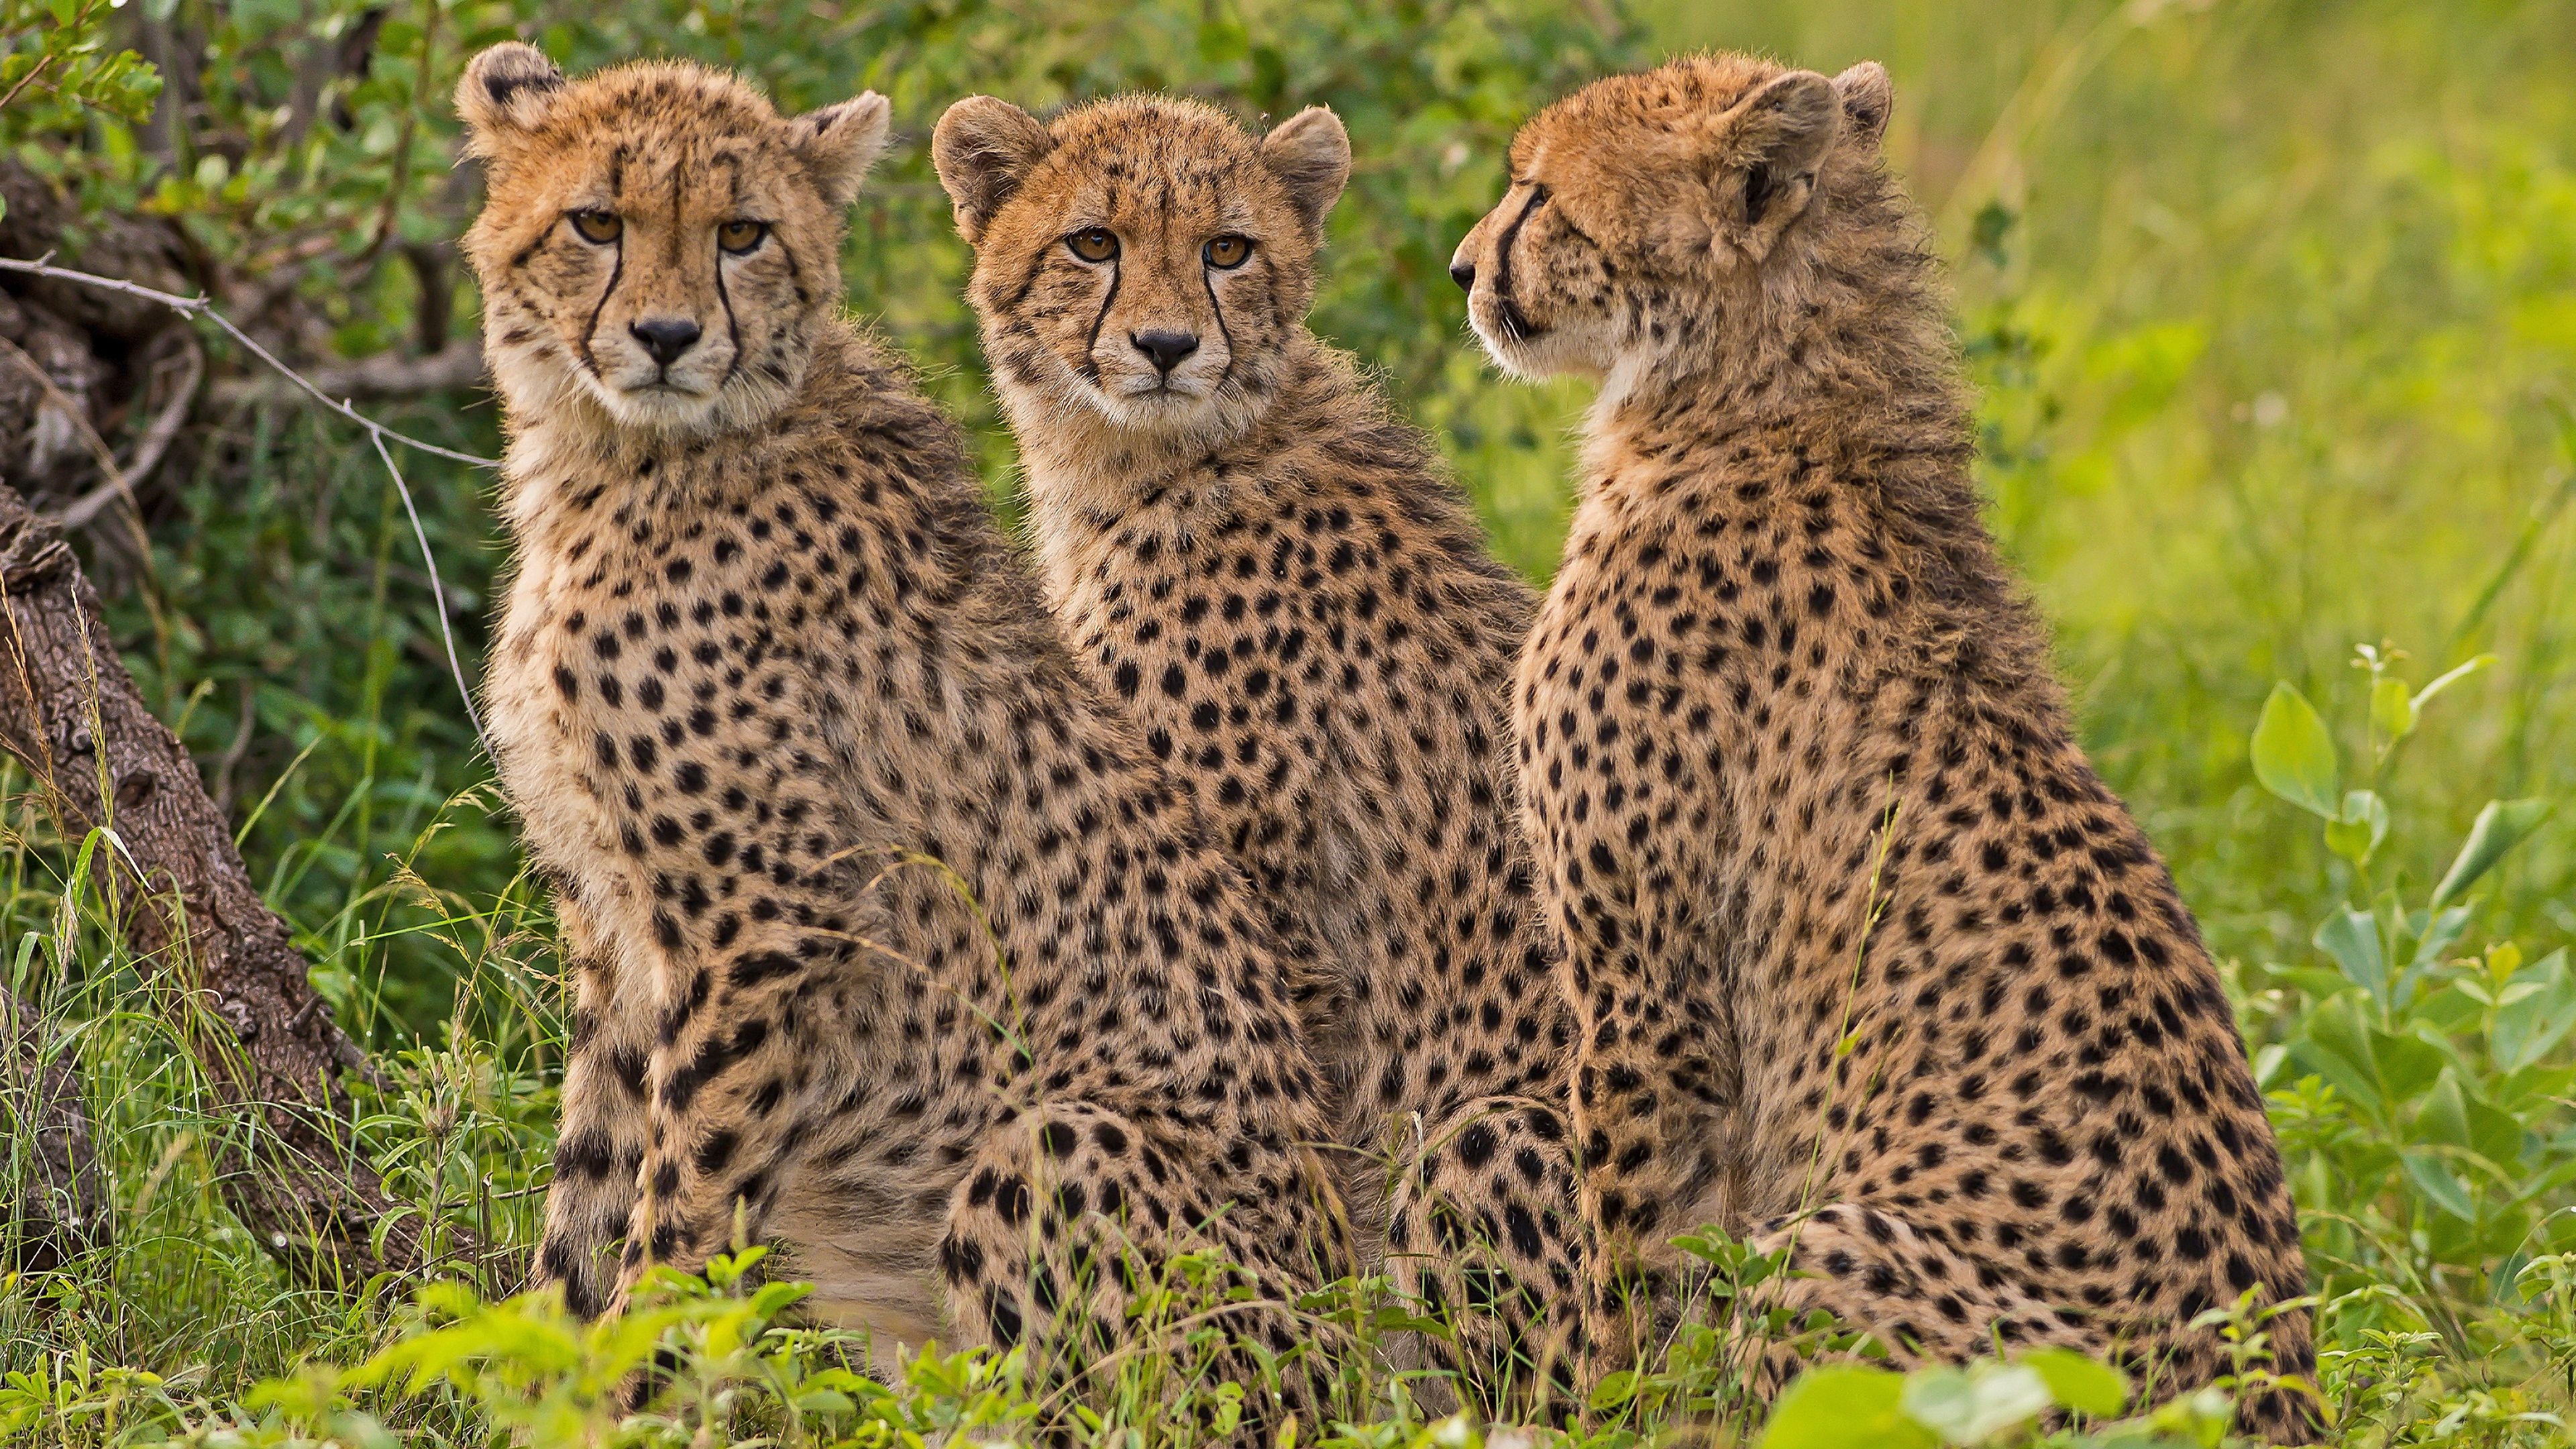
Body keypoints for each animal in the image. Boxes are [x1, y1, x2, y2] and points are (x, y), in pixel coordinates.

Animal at [455, 48, 1350, 1413]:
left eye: (742, 235)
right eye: (595, 223)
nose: (666, 338)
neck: (619, 450)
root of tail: (1357, 1352)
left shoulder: (767, 929)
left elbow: (679, 1213)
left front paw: (634, 1404)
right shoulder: (615, 936)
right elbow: (585, 1203)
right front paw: (540, 1394)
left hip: (1061, 1147)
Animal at [943, 93, 1587, 1413]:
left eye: (1229, 250)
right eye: (1093, 243)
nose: (1167, 346)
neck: (1171, 458)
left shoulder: (1258, 930)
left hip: (1501, 1134)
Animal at [1452, 56, 2318, 1433]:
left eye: (1538, 195)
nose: (1458, 269)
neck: (1757, 396)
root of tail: (2266, 1399)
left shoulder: (1651, 991)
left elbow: (1633, 1261)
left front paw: (1603, 1417)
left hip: (1831, 1254)